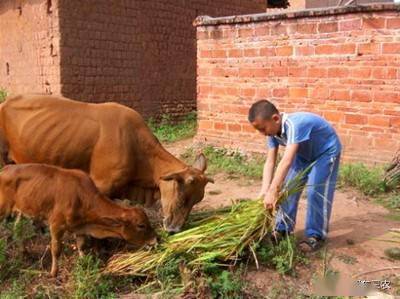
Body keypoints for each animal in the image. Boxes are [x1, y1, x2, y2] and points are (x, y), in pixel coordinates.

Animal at [0, 165, 158, 278]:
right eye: (141, 225)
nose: (156, 239)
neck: (82, 197)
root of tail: (4, 169)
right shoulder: (56, 225)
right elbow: (56, 249)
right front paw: (53, 273)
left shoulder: (80, 228)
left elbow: (81, 246)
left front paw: (83, 263)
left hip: (20, 211)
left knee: (17, 229)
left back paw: (25, 252)